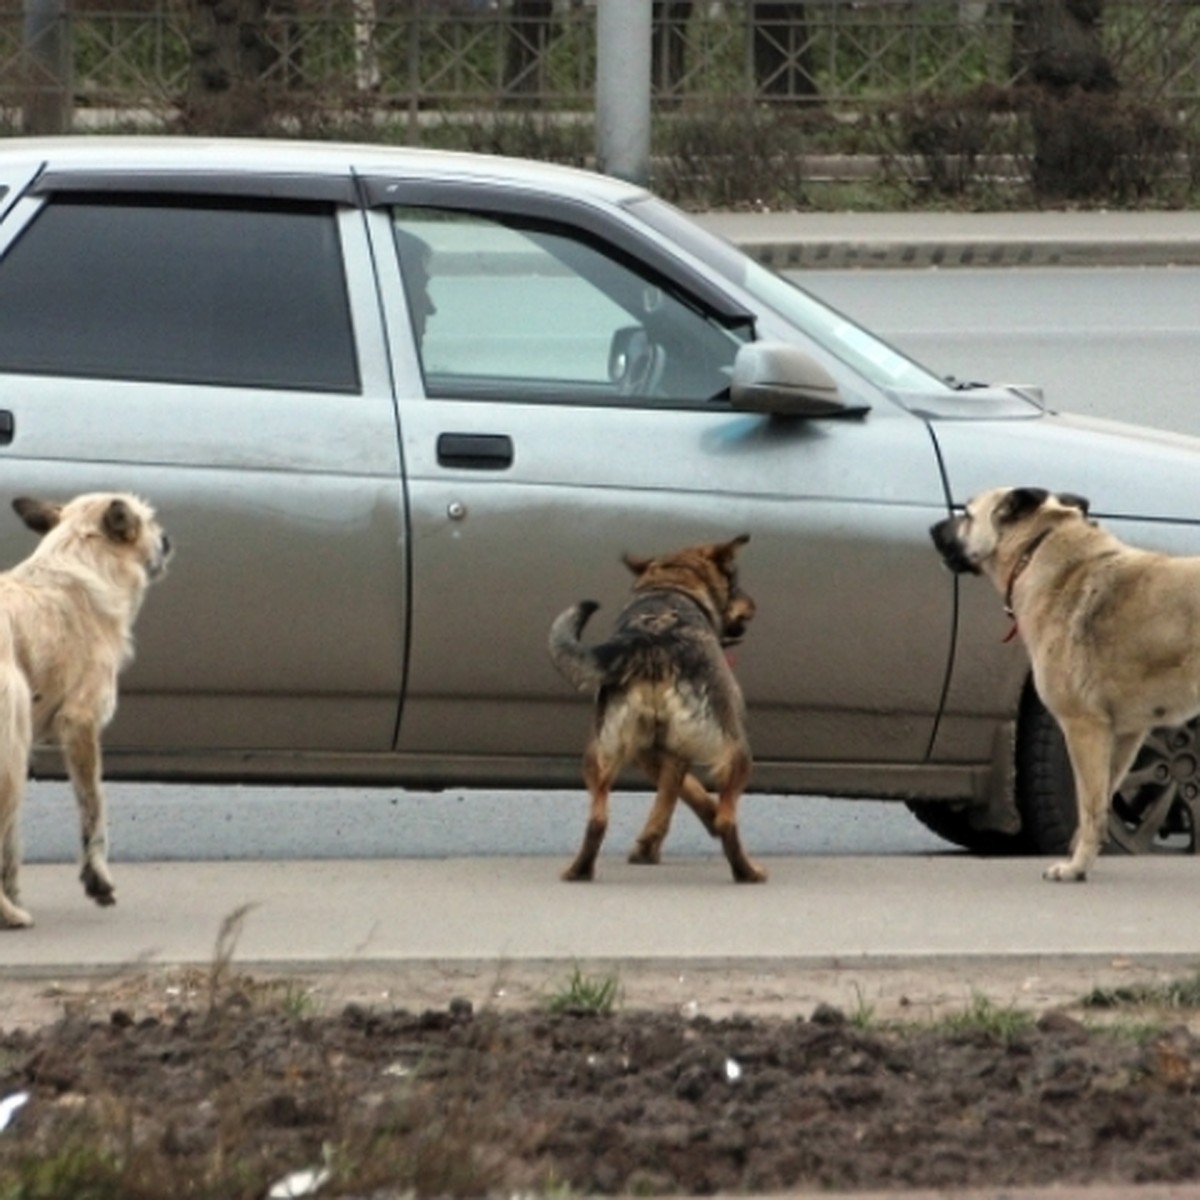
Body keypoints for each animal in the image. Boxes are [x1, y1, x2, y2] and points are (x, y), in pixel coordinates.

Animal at [0, 489, 171, 926]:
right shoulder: (80, 724)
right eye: (149, 522)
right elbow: (94, 808)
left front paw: (14, 889)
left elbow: (11, 844)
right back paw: (9, 914)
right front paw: (97, 877)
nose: (168, 540)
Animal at [549, 535, 763, 883]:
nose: (753, 605)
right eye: (734, 582)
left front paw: (649, 844)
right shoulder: (677, 749)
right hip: (738, 751)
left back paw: (579, 870)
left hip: (599, 754)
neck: (671, 583)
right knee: (728, 819)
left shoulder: (647, 751)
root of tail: (649, 641)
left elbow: (673, 791)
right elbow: (677, 790)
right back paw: (747, 871)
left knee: (597, 819)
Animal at [931, 482, 1200, 888]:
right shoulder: (1123, 736)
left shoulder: (1083, 729)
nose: (931, 528)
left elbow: (1089, 807)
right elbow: (1101, 801)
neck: (1036, 549)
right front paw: (1081, 856)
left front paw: (1075, 866)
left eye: (966, 513)